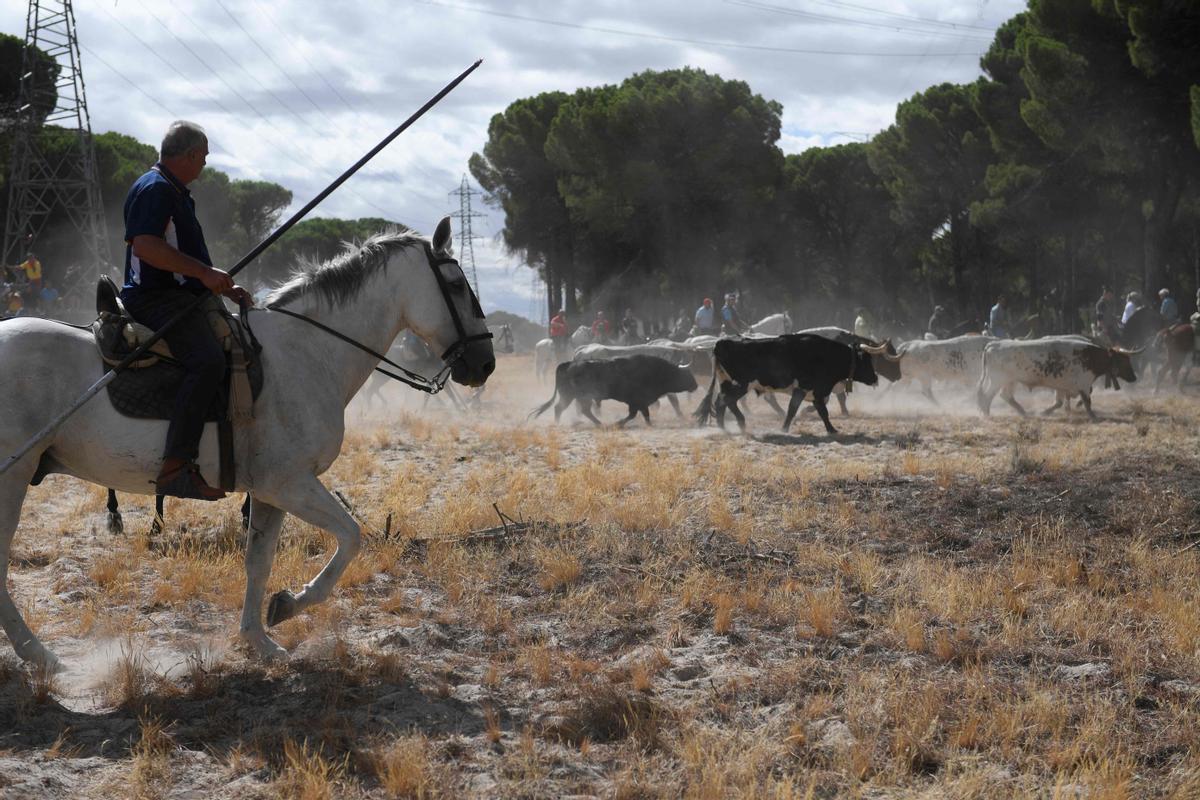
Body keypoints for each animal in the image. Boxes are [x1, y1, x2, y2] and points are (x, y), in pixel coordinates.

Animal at [0, 219, 492, 671]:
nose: (484, 363)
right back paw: (38, 653)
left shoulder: (269, 491)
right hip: (12, 479)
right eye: (456, 284)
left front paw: (259, 638)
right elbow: (351, 537)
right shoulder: (289, 482)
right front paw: (292, 603)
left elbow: (259, 561)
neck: (307, 350)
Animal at [528, 355, 700, 429]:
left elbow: (642, 414)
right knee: (562, 408)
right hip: (573, 396)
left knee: (577, 410)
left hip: (575, 396)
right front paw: (619, 423)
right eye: (687, 375)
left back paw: (598, 423)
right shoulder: (637, 401)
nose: (696, 385)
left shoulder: (639, 402)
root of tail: (569, 363)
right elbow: (636, 414)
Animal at [696, 335, 883, 434]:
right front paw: (785, 428)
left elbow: (821, 411)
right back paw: (739, 423)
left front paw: (831, 429)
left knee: (721, 401)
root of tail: (723, 342)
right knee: (726, 400)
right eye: (867, 361)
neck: (825, 355)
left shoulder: (814, 392)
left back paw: (723, 427)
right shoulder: (805, 388)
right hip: (740, 385)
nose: (875, 378)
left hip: (727, 382)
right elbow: (796, 409)